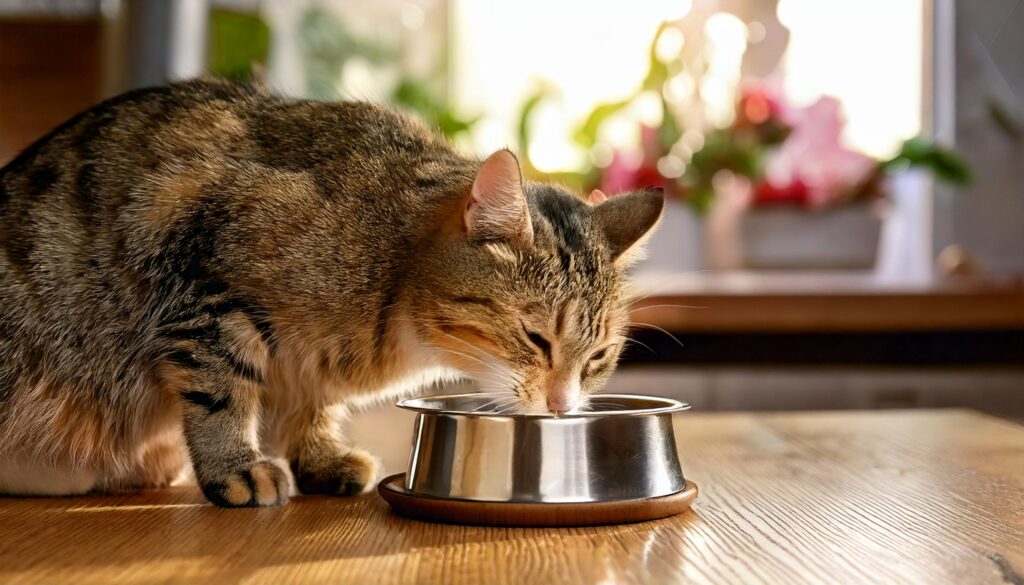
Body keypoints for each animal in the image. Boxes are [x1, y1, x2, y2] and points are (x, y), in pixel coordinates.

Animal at [0, 78, 663, 508]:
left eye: (598, 358)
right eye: (535, 338)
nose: (562, 406)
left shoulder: (305, 365)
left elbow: (310, 404)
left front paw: (318, 457)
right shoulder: (203, 282)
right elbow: (221, 393)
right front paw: (236, 466)